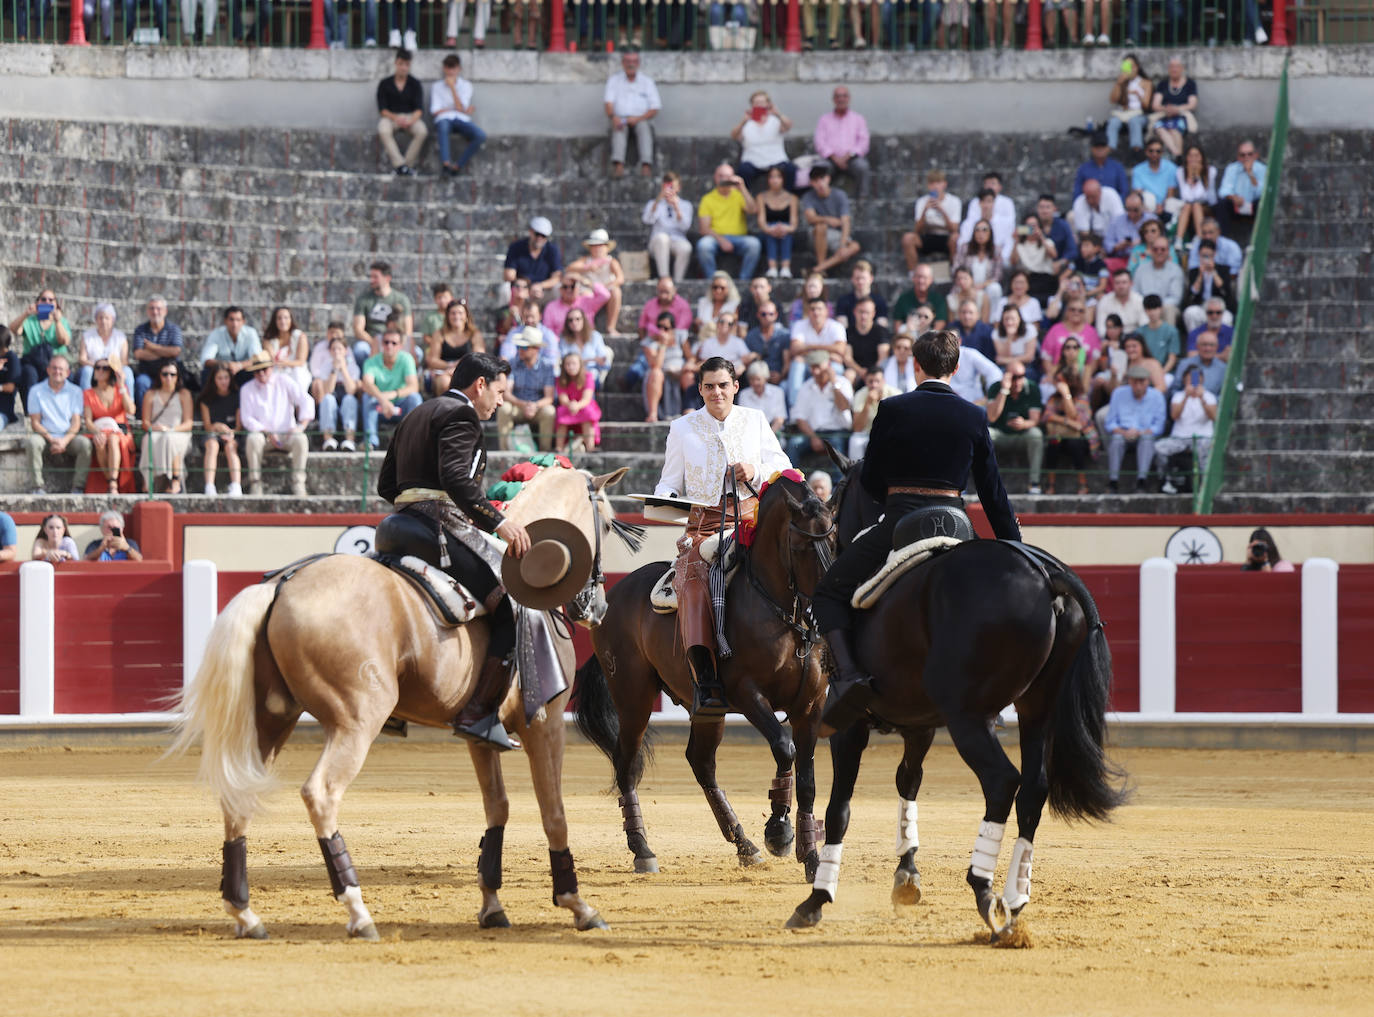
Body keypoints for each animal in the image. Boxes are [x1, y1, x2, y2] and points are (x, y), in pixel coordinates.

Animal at [167, 464, 632, 940]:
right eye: (607, 524)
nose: (597, 608)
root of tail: (282, 585)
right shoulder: (545, 721)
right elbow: (553, 810)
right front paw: (578, 905)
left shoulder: (480, 734)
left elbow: (497, 807)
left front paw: (491, 905)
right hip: (356, 721)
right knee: (321, 793)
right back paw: (357, 911)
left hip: (272, 718)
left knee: (237, 795)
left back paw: (245, 914)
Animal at [574, 472, 829, 879]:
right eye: (802, 545)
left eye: (833, 539)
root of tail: (613, 595)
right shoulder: (747, 693)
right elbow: (783, 747)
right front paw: (779, 831)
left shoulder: (811, 704)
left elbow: (807, 779)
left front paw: (811, 856)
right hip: (633, 698)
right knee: (626, 763)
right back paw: (642, 849)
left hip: (708, 709)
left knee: (701, 762)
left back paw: (744, 844)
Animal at [785, 453, 1126, 940]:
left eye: (834, 505)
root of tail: (1048, 577)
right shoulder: (921, 725)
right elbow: (907, 782)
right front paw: (906, 877)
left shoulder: (849, 727)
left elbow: (839, 809)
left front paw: (817, 898)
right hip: (1036, 711)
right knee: (1033, 789)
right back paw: (1015, 898)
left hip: (969, 719)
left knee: (1002, 782)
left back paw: (986, 892)